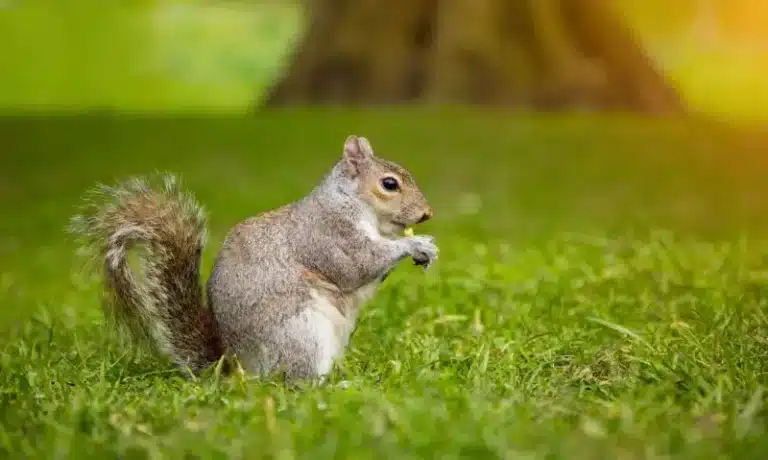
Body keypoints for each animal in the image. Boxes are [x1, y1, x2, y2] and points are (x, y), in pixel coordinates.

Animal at [68, 135, 438, 381]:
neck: (351, 202)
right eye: (389, 184)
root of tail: (237, 367)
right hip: (301, 334)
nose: (426, 214)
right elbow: (357, 264)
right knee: (296, 383)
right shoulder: (330, 235)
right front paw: (415, 244)